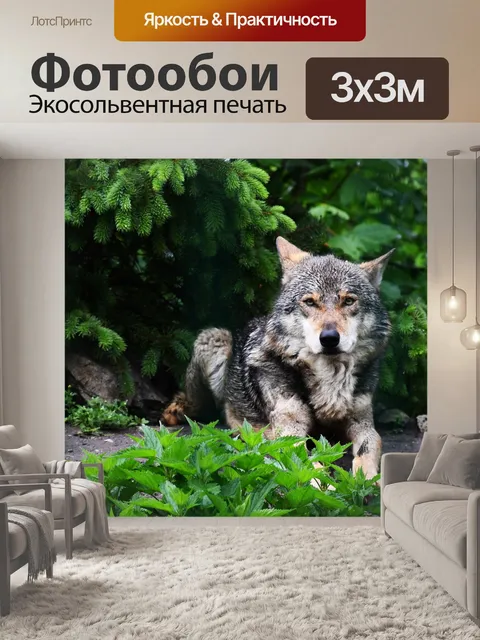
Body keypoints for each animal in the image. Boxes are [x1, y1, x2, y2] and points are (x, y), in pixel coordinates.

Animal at [162, 237, 394, 479]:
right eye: (310, 302)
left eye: (348, 301)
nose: (329, 338)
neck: (329, 379)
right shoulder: (290, 431)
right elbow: (306, 464)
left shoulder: (362, 423)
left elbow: (372, 444)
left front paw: (367, 480)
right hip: (216, 339)